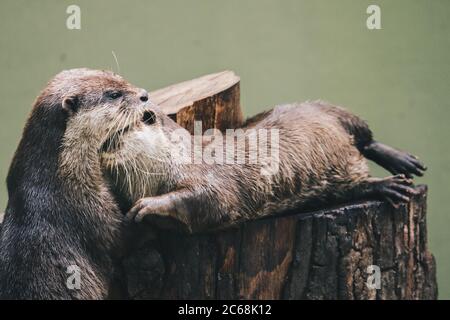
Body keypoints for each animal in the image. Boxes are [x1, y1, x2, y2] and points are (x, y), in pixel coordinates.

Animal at [0, 68, 152, 300]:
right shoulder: (85, 209)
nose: (144, 95)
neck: (57, 177)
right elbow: (121, 239)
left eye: (117, 76)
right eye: (113, 94)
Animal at [101, 99, 426, 234]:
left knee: (365, 143)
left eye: (113, 136)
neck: (176, 159)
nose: (100, 151)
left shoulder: (213, 179)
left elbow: (209, 200)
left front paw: (150, 204)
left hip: (331, 110)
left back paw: (394, 177)